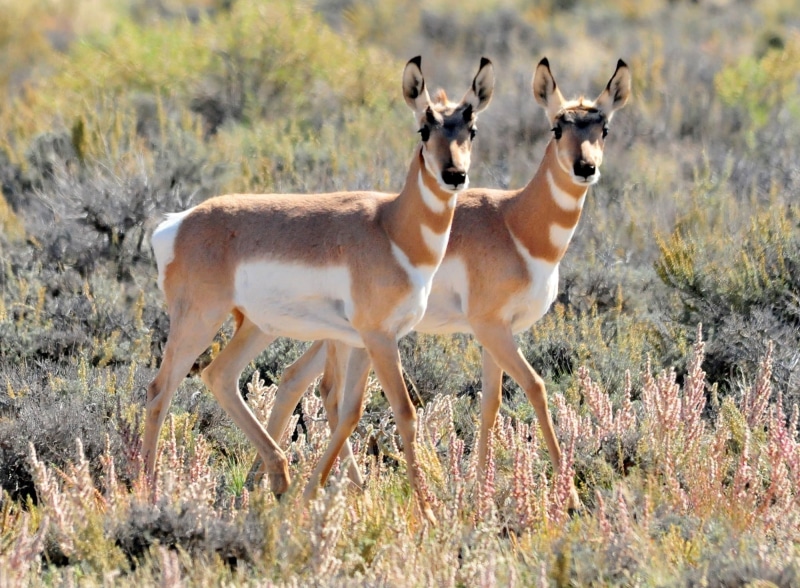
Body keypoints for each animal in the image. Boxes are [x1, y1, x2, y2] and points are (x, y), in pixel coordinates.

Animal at [146, 56, 495, 524]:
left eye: (470, 129)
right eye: (424, 128)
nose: (454, 175)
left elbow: (350, 410)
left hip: (256, 328)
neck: (391, 227)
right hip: (199, 321)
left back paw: (279, 478)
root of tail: (178, 223)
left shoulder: (364, 341)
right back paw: (145, 489)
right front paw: (428, 511)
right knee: (160, 391)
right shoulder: (379, 339)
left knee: (220, 376)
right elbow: (403, 412)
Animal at [258, 58, 631, 512]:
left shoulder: (496, 333)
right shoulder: (492, 327)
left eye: (604, 128)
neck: (514, 223)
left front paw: (479, 490)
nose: (585, 168)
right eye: (557, 128)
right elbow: (537, 387)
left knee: (297, 379)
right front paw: (571, 495)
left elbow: (490, 402)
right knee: (323, 388)